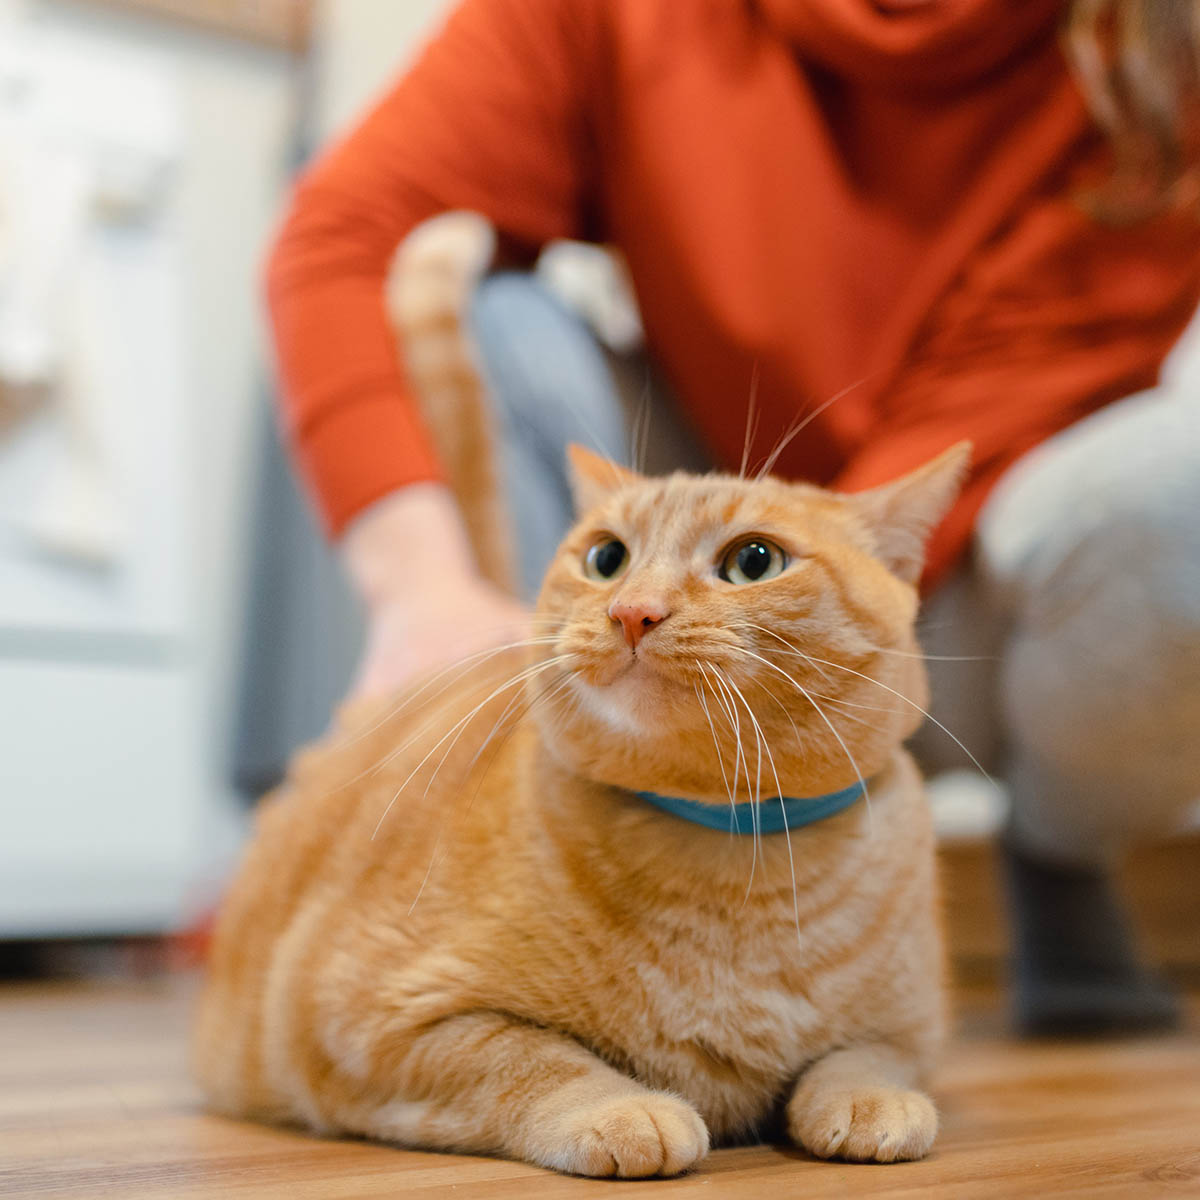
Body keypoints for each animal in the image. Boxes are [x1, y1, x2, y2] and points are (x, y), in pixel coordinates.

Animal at [194, 439, 964, 1171]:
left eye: (754, 561)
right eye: (606, 557)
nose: (632, 612)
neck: (737, 854)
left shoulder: (914, 1029)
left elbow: (867, 1057)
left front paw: (871, 1099)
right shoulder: (371, 1019)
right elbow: (530, 1058)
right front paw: (621, 1109)